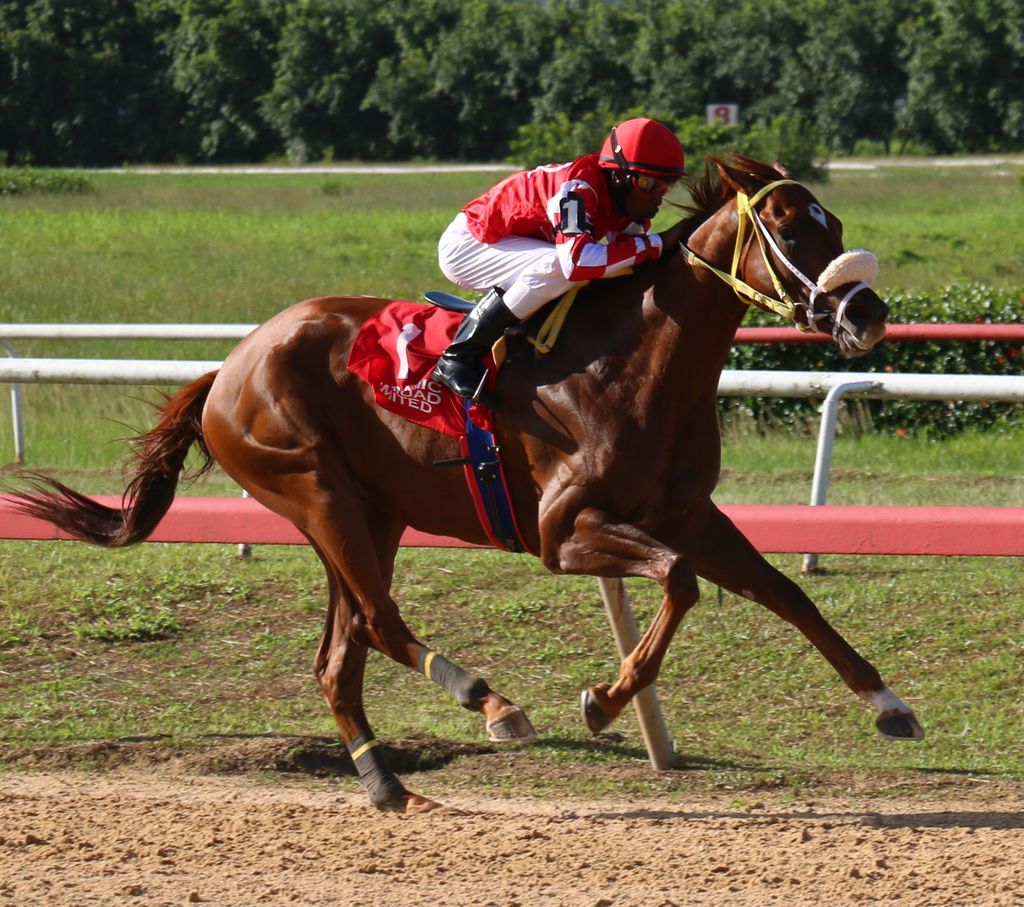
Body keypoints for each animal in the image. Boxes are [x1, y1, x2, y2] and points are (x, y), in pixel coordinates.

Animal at [12, 156, 925, 814]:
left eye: (836, 223)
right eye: (786, 226)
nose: (866, 312)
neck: (635, 364)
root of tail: (228, 366)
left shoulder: (687, 510)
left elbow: (783, 591)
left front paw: (888, 703)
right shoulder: (563, 531)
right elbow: (679, 579)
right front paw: (603, 698)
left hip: (366, 512)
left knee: (341, 653)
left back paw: (387, 784)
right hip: (317, 490)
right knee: (380, 622)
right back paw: (488, 701)